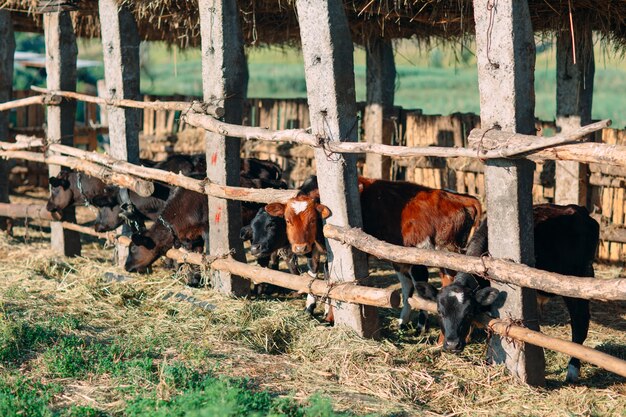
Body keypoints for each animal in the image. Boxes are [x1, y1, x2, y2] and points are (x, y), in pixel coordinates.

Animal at [260, 176, 480, 328]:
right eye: (288, 220)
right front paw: (311, 308)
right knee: (408, 286)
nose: (299, 247)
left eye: (313, 219)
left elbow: (332, 280)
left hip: (436, 254)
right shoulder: (315, 250)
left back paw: (423, 327)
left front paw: (330, 316)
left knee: (428, 285)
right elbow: (315, 276)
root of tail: (460, 197)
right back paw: (404, 322)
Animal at [412, 203, 596, 382]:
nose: (451, 345)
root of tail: (579, 210)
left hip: (579, 279)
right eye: (439, 312)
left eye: (468, 313)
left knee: (580, 323)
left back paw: (572, 371)